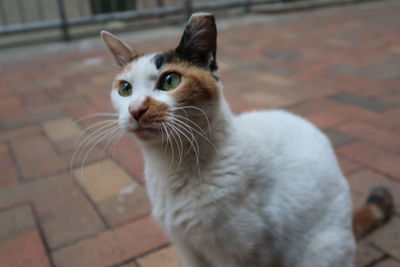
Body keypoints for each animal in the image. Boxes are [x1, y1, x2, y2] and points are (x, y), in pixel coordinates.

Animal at [101, 12, 394, 266]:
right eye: (125, 88)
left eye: (170, 81)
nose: (136, 109)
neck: (170, 166)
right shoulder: (188, 248)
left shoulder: (240, 254)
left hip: (320, 250)